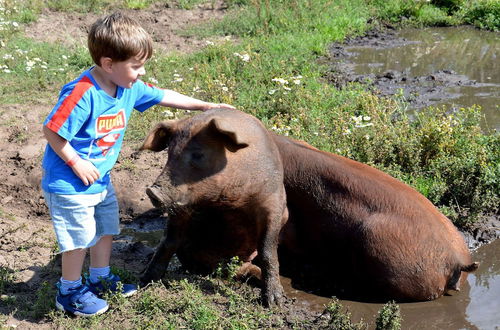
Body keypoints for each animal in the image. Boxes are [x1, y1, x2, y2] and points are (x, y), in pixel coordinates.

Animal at [140, 109, 290, 306]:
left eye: (198, 154)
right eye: (169, 153)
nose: (152, 192)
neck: (227, 201)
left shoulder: (274, 203)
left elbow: (268, 250)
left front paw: (274, 303)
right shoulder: (181, 208)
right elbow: (168, 241)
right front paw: (145, 280)